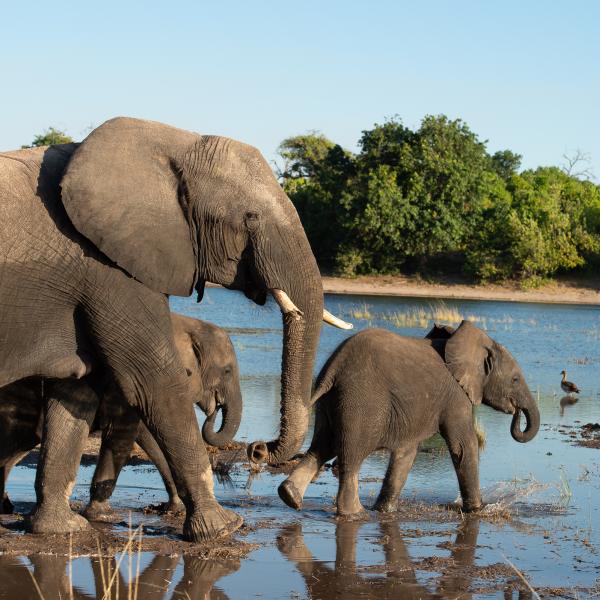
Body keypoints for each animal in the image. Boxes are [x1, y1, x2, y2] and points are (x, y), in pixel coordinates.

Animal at [1, 312, 243, 524]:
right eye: (227, 371)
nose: (214, 408)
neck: (186, 325)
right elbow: (133, 432)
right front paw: (105, 516)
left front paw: (174, 508)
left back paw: (6, 507)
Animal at [278, 324, 540, 516]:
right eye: (515, 380)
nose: (516, 412)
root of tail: (335, 365)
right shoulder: (456, 396)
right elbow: (464, 445)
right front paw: (478, 510)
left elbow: (407, 452)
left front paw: (384, 510)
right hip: (361, 403)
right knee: (350, 455)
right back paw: (355, 513)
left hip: (330, 402)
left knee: (322, 446)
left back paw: (289, 496)